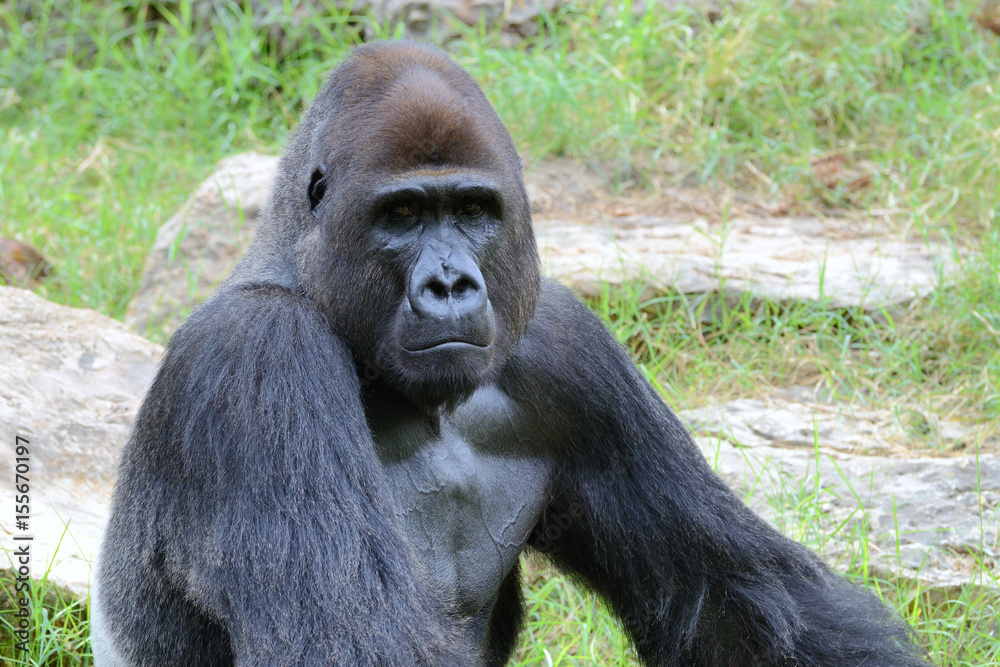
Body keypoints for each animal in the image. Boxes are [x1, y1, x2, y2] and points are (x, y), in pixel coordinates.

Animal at [95, 40, 928, 667]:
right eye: (402, 215)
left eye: (473, 209)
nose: (450, 283)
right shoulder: (257, 355)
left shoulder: (568, 347)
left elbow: (728, 599)